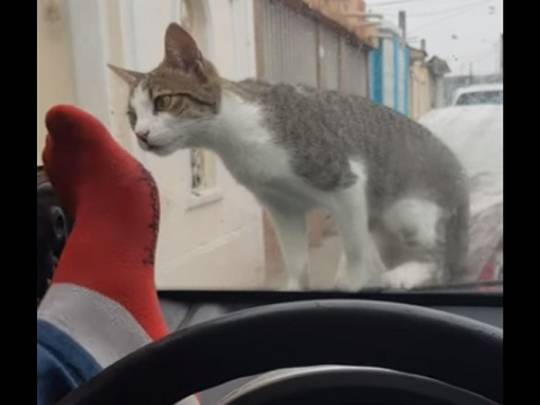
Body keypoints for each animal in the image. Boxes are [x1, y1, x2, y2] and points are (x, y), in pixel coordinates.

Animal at [108, 23, 469, 291]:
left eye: (163, 101)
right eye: (132, 116)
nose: (141, 135)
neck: (235, 133)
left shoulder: (346, 181)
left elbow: (354, 248)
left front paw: (350, 283)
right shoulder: (281, 205)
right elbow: (295, 258)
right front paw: (296, 287)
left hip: (409, 210)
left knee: (437, 260)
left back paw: (406, 274)